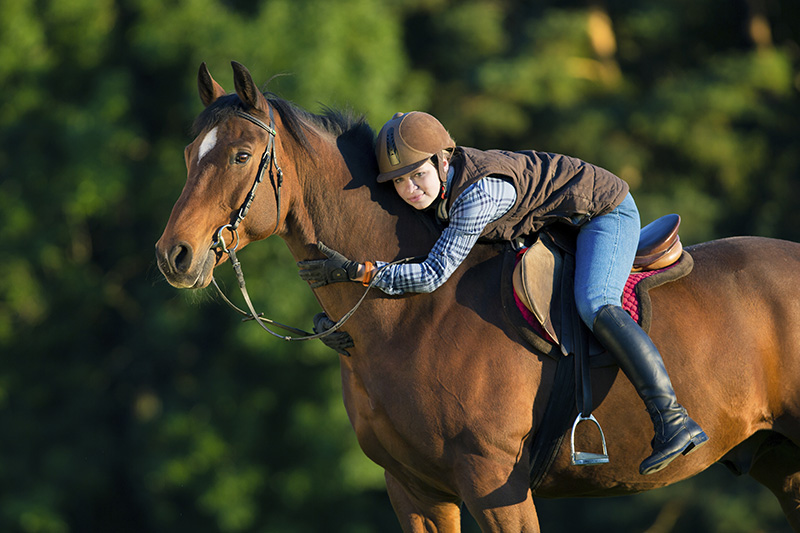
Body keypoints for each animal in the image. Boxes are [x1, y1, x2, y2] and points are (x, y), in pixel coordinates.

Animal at [156, 61, 800, 528]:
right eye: (189, 155)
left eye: (241, 155)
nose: (173, 255)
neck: (411, 317)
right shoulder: (415, 489)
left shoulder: (494, 482)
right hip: (782, 462)